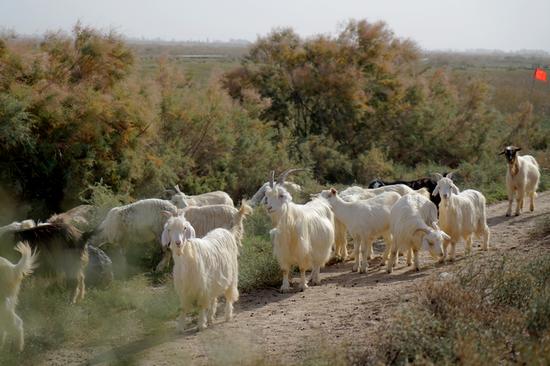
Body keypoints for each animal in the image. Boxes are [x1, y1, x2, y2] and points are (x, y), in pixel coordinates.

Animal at [162, 203, 252, 332]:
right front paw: (180, 327)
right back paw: (210, 318)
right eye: (169, 229)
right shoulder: (184, 288)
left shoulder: (202, 286)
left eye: (185, 228)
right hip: (214, 280)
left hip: (232, 275)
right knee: (214, 298)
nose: (178, 242)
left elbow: (201, 306)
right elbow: (183, 308)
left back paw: (227, 315)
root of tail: (227, 231)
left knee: (229, 296)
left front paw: (201, 325)